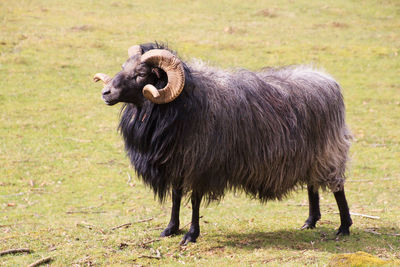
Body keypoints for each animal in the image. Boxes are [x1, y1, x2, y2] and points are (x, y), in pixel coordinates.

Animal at [93, 43, 350, 246]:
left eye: (140, 74)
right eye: (124, 66)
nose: (106, 92)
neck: (180, 106)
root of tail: (328, 81)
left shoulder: (201, 164)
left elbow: (194, 200)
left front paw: (191, 235)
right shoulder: (176, 162)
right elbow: (176, 197)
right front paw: (171, 229)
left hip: (328, 151)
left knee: (337, 187)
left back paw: (344, 227)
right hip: (309, 155)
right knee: (312, 185)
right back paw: (310, 221)